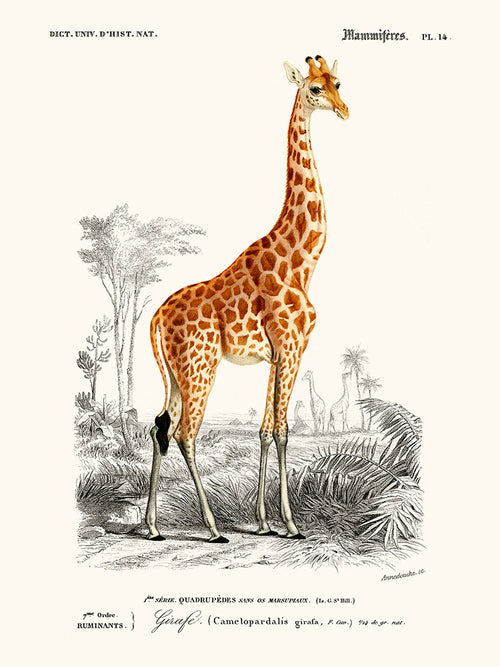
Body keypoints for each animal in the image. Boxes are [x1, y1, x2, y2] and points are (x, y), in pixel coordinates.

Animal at [146, 55, 349, 542]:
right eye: (315, 89)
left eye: (339, 83)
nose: (344, 110)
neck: (303, 261)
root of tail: (155, 319)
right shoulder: (291, 347)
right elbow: (283, 430)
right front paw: (291, 524)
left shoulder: (276, 355)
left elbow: (263, 429)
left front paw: (263, 521)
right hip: (200, 368)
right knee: (184, 433)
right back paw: (213, 528)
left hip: (177, 374)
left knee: (158, 425)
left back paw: (153, 527)